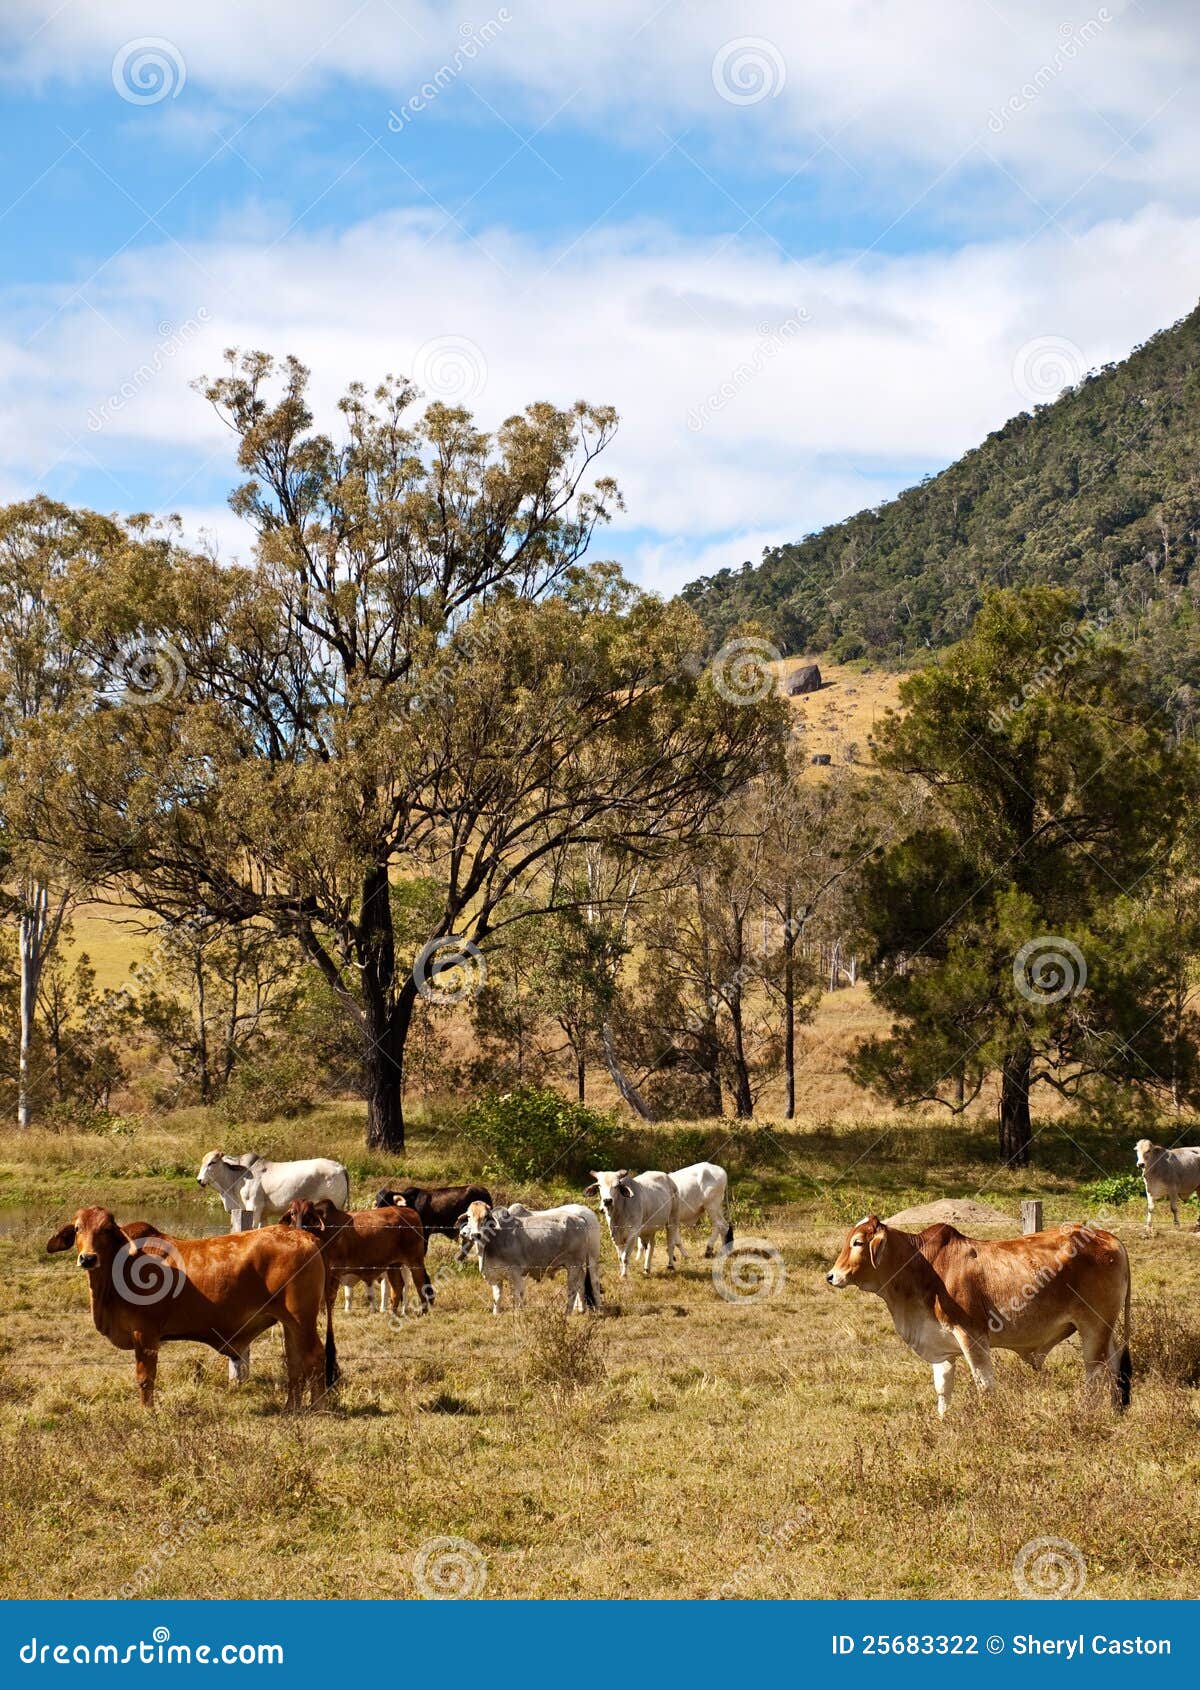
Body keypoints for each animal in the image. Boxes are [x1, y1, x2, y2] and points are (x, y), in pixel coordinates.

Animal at [46, 1203, 336, 1412]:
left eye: (106, 1229)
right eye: (78, 1228)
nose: (88, 1258)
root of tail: (305, 1236)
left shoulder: (145, 1334)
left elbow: (145, 1376)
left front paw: (146, 1411)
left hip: (302, 1319)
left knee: (314, 1357)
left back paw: (318, 1408)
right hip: (290, 1323)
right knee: (295, 1362)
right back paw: (291, 1408)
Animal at [452, 1196, 601, 1311]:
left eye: (486, 1216)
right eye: (469, 1216)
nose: (475, 1235)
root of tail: (580, 1218)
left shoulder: (515, 1273)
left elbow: (518, 1296)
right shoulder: (495, 1276)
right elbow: (497, 1297)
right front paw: (496, 1314)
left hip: (580, 1262)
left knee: (581, 1286)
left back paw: (574, 1312)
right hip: (577, 1265)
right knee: (580, 1282)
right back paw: (581, 1309)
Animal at [831, 1216, 1135, 1412]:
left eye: (858, 1243)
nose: (831, 1276)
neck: (923, 1266)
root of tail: (1109, 1238)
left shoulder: (972, 1334)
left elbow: (985, 1384)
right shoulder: (941, 1344)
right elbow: (943, 1387)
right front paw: (943, 1421)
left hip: (1093, 1326)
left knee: (1094, 1373)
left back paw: (1087, 1414)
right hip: (1105, 1329)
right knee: (1115, 1366)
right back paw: (1115, 1411)